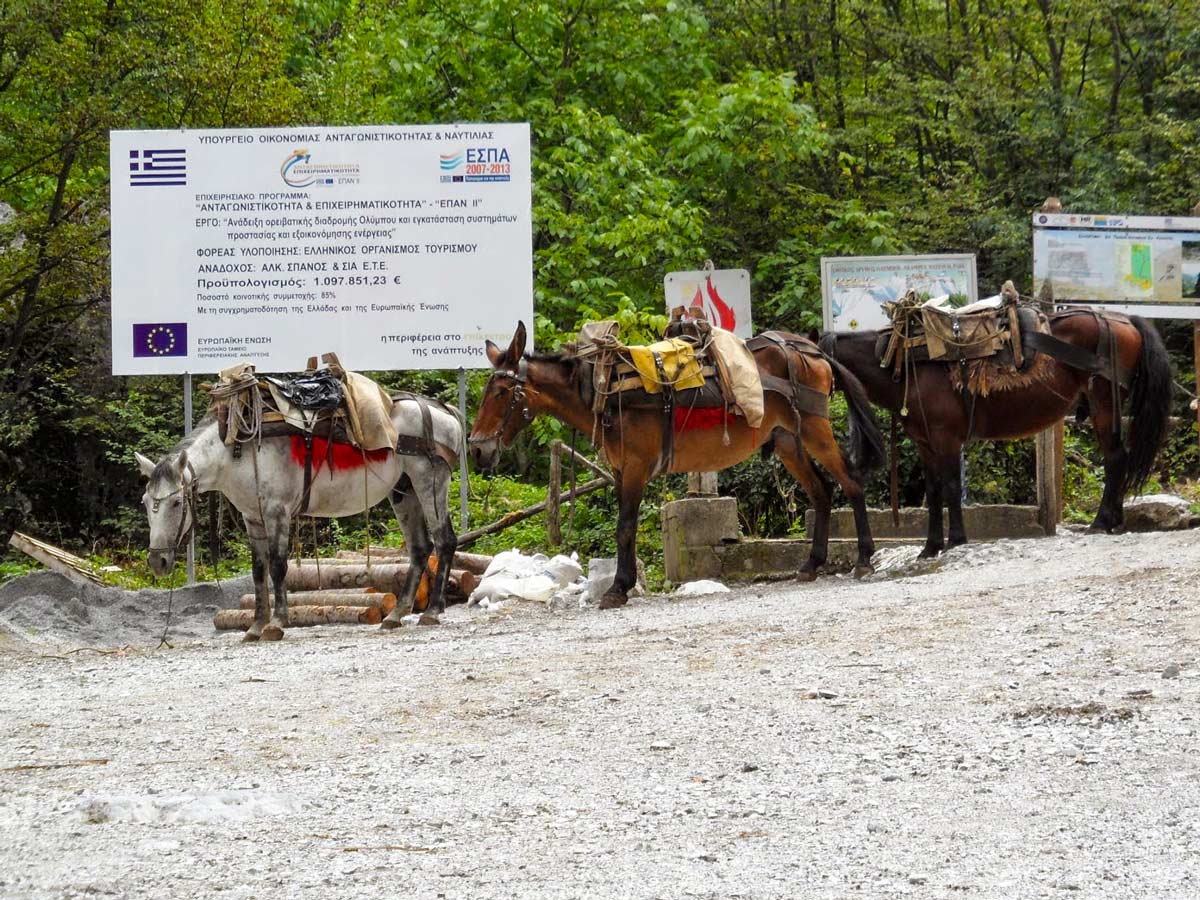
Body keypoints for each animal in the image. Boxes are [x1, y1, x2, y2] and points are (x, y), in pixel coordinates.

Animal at [135, 396, 463, 643]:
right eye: (146, 503)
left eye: (176, 502)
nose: (157, 562)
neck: (236, 450)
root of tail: (443, 411)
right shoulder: (253, 518)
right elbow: (258, 571)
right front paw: (255, 626)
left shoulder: (276, 512)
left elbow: (278, 566)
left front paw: (277, 623)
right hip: (403, 492)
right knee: (419, 548)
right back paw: (396, 614)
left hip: (430, 483)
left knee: (444, 540)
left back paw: (432, 611)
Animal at [468, 321, 892, 609]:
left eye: (501, 392)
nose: (476, 449)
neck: (604, 388)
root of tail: (809, 348)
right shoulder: (620, 469)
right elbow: (627, 527)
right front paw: (622, 583)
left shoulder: (635, 467)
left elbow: (624, 527)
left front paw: (618, 587)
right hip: (789, 439)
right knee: (822, 491)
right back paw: (812, 564)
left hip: (817, 428)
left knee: (851, 482)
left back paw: (864, 558)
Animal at [820, 309, 1166, 556]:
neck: (904, 361)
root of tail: (1122, 319)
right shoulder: (925, 443)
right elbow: (933, 491)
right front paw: (930, 547)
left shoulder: (946, 439)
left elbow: (949, 487)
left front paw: (956, 539)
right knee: (1117, 458)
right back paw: (1114, 519)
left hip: (1104, 403)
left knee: (1114, 458)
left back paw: (1102, 520)